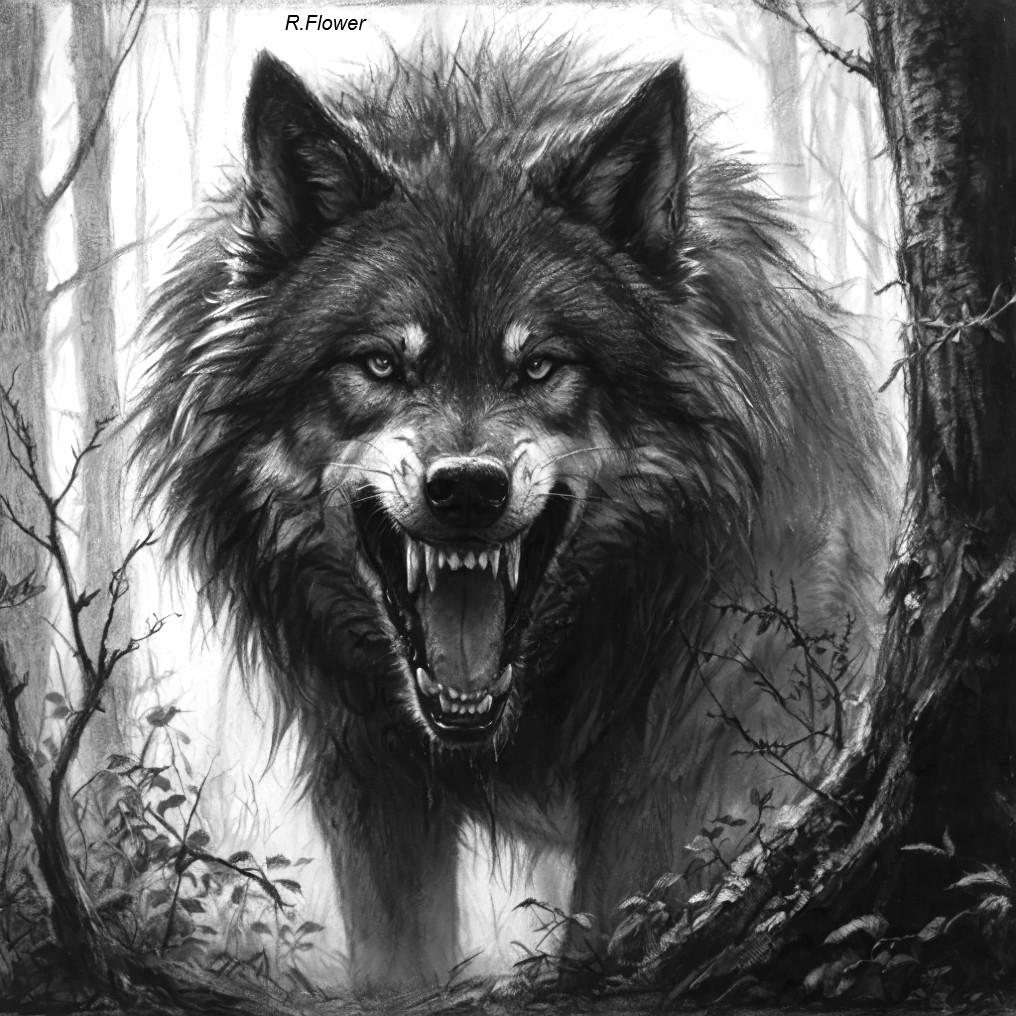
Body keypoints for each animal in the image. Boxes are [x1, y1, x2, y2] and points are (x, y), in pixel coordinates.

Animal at [135, 39, 894, 985]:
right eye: (381, 364)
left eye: (540, 367)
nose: (467, 487)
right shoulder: (372, 782)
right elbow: (403, 968)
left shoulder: (683, 774)